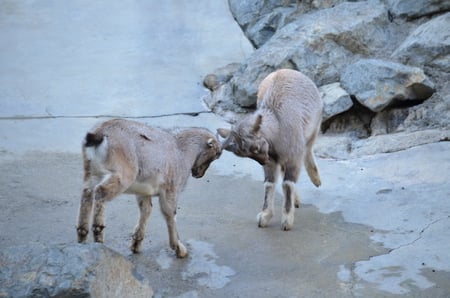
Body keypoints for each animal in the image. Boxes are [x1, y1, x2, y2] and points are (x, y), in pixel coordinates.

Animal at [217, 69, 320, 230]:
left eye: (256, 147)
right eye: (243, 154)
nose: (263, 161)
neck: (278, 125)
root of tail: (285, 70)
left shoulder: (293, 156)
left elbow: (287, 184)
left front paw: (287, 221)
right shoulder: (273, 161)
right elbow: (270, 184)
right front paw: (265, 216)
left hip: (314, 129)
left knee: (308, 149)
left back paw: (316, 179)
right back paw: (297, 199)